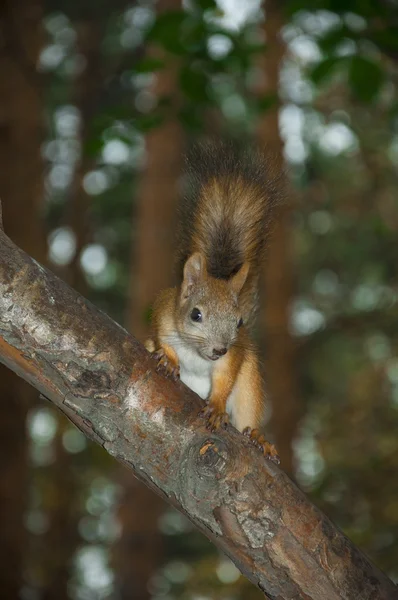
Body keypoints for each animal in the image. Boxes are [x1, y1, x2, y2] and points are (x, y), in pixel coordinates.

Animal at [145, 141, 280, 464]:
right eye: (195, 315)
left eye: (239, 322)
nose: (220, 349)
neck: (197, 353)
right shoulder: (163, 313)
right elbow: (161, 337)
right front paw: (168, 358)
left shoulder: (233, 359)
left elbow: (224, 378)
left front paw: (217, 407)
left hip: (249, 386)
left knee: (247, 416)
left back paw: (259, 438)